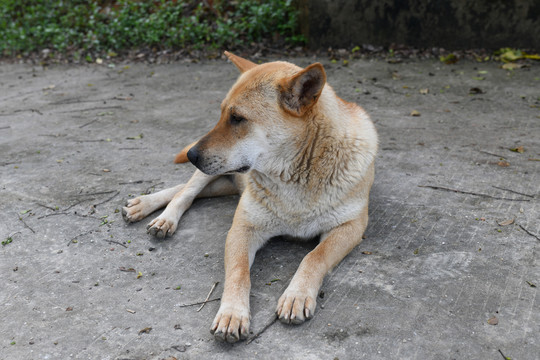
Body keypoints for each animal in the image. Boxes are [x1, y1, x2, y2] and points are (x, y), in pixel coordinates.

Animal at [122, 51, 378, 344]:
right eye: (222, 113)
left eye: (237, 118)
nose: (191, 155)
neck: (297, 174)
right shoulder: (242, 229)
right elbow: (239, 273)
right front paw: (232, 313)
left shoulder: (350, 228)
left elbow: (314, 257)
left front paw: (297, 294)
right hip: (209, 175)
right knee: (184, 193)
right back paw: (157, 214)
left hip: (224, 179)